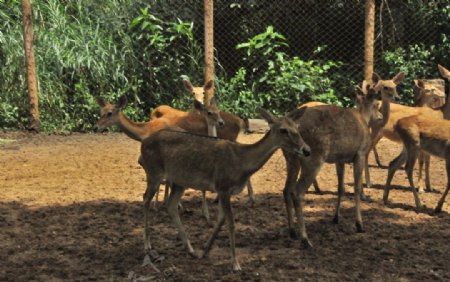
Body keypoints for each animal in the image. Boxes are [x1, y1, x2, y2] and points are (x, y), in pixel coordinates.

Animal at [140, 108, 310, 270]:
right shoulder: (223, 186)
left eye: (297, 127)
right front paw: (235, 264)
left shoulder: (225, 191)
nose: (307, 150)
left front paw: (204, 251)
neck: (242, 164)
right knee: (146, 198)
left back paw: (190, 249)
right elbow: (230, 223)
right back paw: (147, 244)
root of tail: (143, 146)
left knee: (171, 205)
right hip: (154, 172)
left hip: (179, 181)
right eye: (283, 130)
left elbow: (221, 220)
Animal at [282, 71, 400, 248]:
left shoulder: (340, 159)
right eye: (375, 104)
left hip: (291, 159)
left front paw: (336, 218)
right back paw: (305, 239)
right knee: (297, 191)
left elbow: (341, 188)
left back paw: (292, 231)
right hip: (314, 157)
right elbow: (356, 188)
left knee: (286, 189)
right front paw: (359, 224)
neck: (364, 119)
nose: (380, 116)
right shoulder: (360, 153)